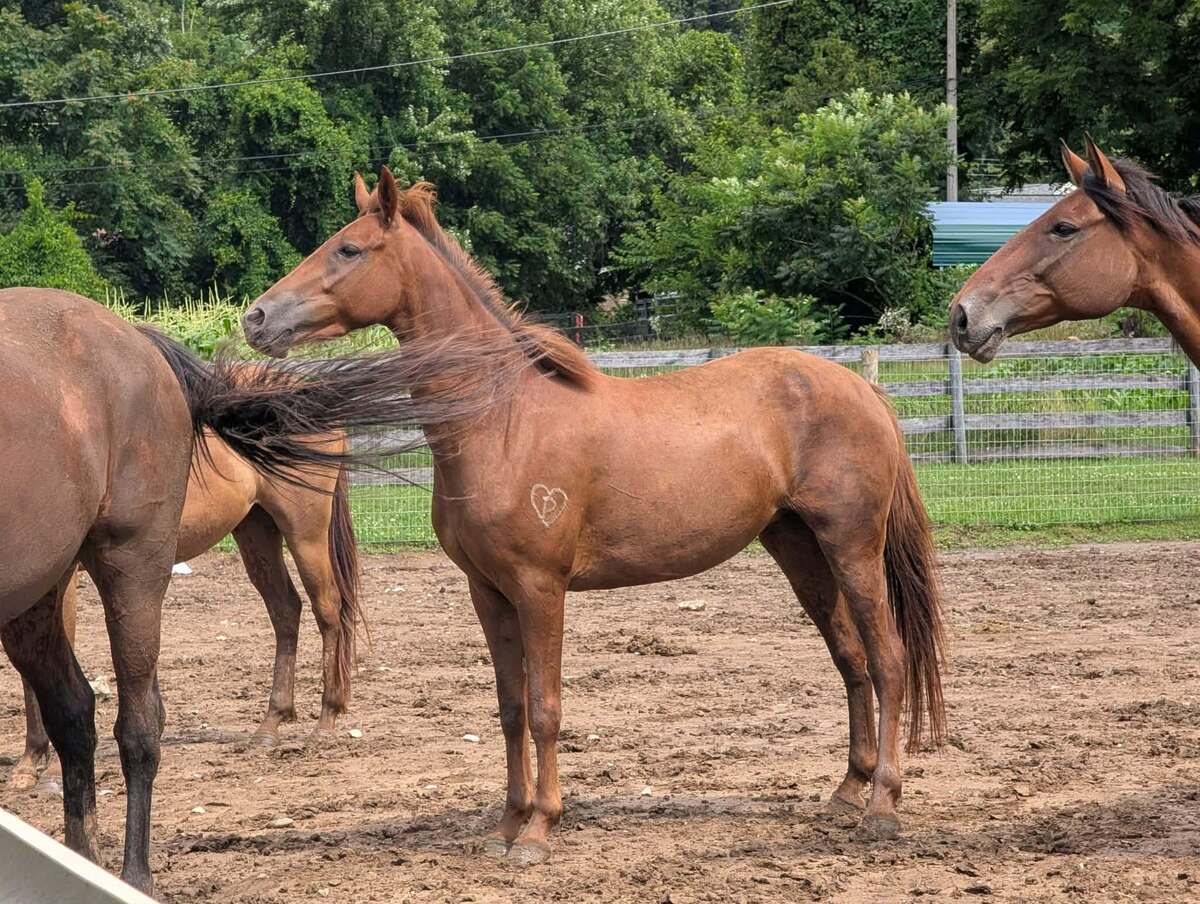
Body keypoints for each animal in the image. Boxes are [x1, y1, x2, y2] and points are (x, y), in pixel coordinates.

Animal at [8, 428, 360, 792]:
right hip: (256, 530)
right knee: (286, 610)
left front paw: (50, 771)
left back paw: (326, 720)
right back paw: (270, 725)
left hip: (305, 532)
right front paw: (29, 763)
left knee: (328, 610)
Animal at [242, 168, 948, 864]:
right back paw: (847, 791)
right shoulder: (487, 592)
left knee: (887, 659)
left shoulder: (540, 590)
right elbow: (510, 706)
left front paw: (538, 829)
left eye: (349, 249)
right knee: (851, 660)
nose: (255, 317)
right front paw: (507, 820)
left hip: (853, 549)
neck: (504, 421)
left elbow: (546, 708)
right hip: (800, 551)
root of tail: (864, 390)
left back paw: (882, 806)